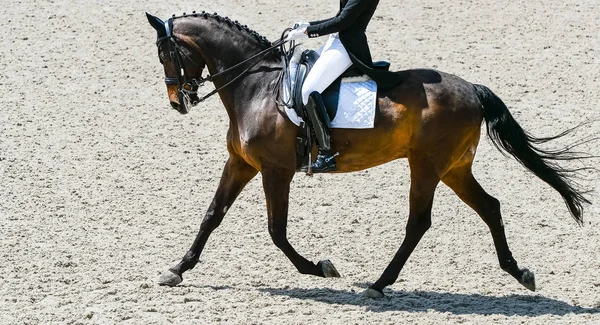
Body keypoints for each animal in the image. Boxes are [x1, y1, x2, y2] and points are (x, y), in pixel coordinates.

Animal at [146, 12, 592, 296]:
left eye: (167, 53)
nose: (177, 102)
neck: (255, 87)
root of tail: (472, 88)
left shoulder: (276, 170)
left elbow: (276, 231)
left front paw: (319, 268)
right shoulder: (241, 163)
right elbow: (212, 216)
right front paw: (176, 270)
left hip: (427, 166)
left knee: (419, 222)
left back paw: (379, 285)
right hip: (454, 168)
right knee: (490, 207)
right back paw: (519, 272)